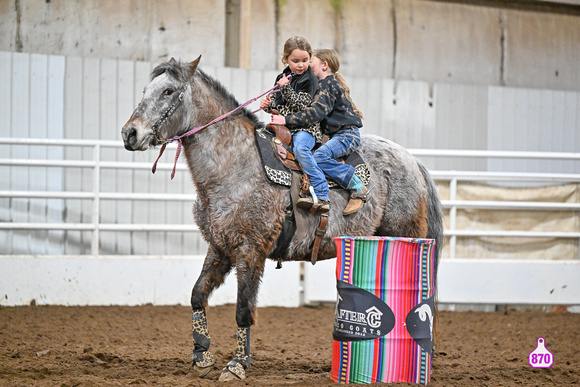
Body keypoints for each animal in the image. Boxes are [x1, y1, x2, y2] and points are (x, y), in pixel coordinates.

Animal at [120, 57, 442, 382]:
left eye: (168, 91)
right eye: (146, 90)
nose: (129, 133)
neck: (234, 164)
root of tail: (413, 161)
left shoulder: (251, 249)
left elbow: (243, 307)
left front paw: (236, 365)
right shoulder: (220, 247)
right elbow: (197, 294)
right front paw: (201, 355)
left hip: (406, 234)